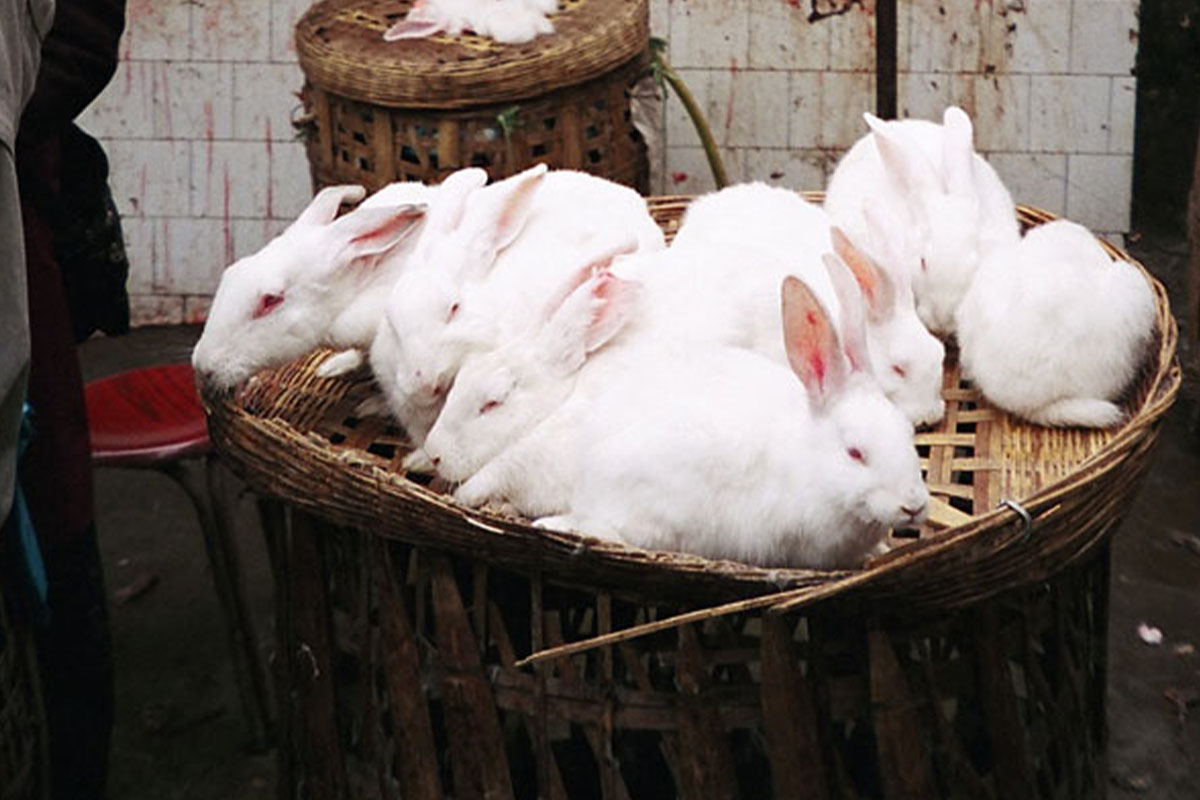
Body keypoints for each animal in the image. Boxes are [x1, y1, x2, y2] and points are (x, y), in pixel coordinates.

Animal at [432, 256, 926, 568]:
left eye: (493, 402)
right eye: (460, 381)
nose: (434, 454)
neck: (565, 398)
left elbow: (493, 478)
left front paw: (470, 496)